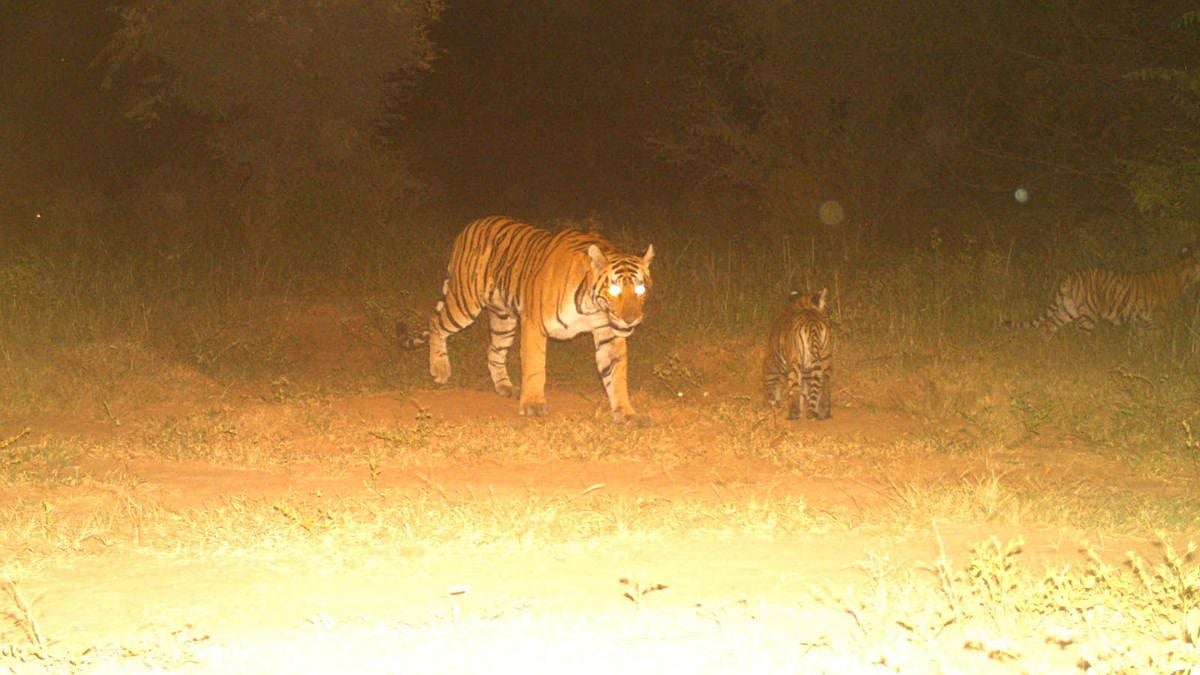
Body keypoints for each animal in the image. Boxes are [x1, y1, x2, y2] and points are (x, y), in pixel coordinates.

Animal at [399, 215, 654, 421]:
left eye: (640, 289)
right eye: (614, 290)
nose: (630, 320)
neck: (591, 307)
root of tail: (471, 226)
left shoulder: (609, 334)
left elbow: (616, 374)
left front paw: (626, 413)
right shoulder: (534, 324)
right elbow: (535, 366)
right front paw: (533, 405)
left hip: (504, 320)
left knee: (493, 351)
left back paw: (505, 387)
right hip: (465, 303)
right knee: (435, 324)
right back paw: (440, 369)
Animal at [762, 288, 833, 420]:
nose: (829, 318)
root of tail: (812, 324)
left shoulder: (772, 363)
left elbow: (772, 384)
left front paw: (773, 404)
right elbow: (808, 387)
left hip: (794, 361)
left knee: (794, 386)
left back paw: (793, 414)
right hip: (826, 357)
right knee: (824, 383)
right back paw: (824, 413)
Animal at [1011, 245, 1200, 337]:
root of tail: (1070, 276)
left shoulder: (1144, 322)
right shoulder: (1160, 321)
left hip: (1067, 309)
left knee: (1047, 326)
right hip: (1087, 315)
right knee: (1080, 336)